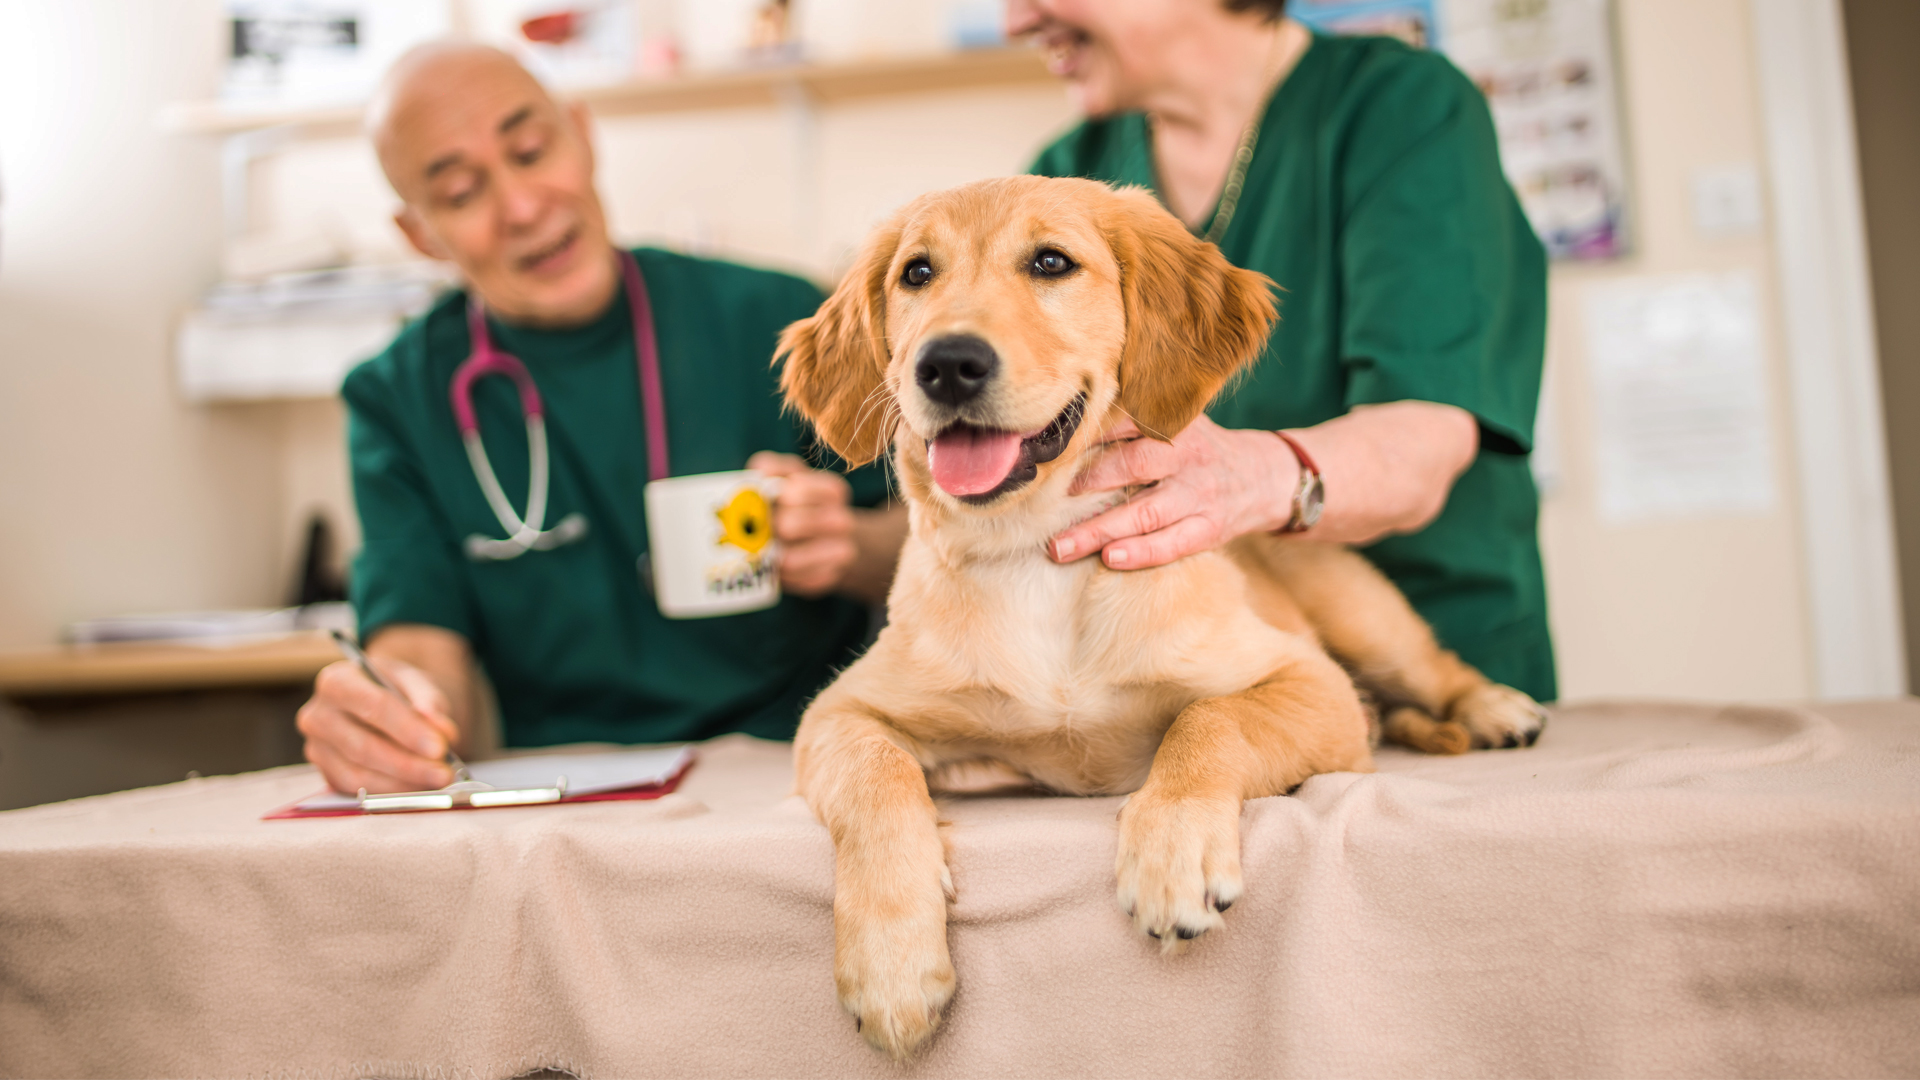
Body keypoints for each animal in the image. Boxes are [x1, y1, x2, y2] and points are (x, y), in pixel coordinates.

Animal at [771, 174, 1536, 1053]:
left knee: (1435, 667)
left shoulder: (1311, 682)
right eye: (916, 274)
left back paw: (1494, 709)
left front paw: (1173, 856)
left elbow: (1207, 720)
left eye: (1051, 262)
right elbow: (877, 780)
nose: (946, 365)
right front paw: (892, 963)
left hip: (1364, 622)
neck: (1036, 554)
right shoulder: (839, 714)